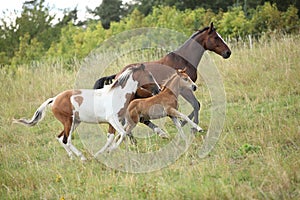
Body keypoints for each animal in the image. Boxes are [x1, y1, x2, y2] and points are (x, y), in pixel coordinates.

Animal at [13, 64, 161, 161]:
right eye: (149, 75)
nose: (158, 90)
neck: (117, 94)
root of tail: (54, 99)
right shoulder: (112, 119)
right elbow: (123, 134)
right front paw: (109, 151)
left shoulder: (114, 122)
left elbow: (113, 137)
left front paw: (103, 153)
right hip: (68, 122)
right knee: (67, 140)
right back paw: (82, 158)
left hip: (74, 122)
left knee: (60, 138)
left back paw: (73, 158)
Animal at [94, 22, 232, 137]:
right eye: (216, 37)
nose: (228, 52)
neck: (183, 59)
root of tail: (118, 75)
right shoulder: (185, 89)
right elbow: (196, 105)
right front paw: (192, 127)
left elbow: (194, 106)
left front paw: (183, 123)